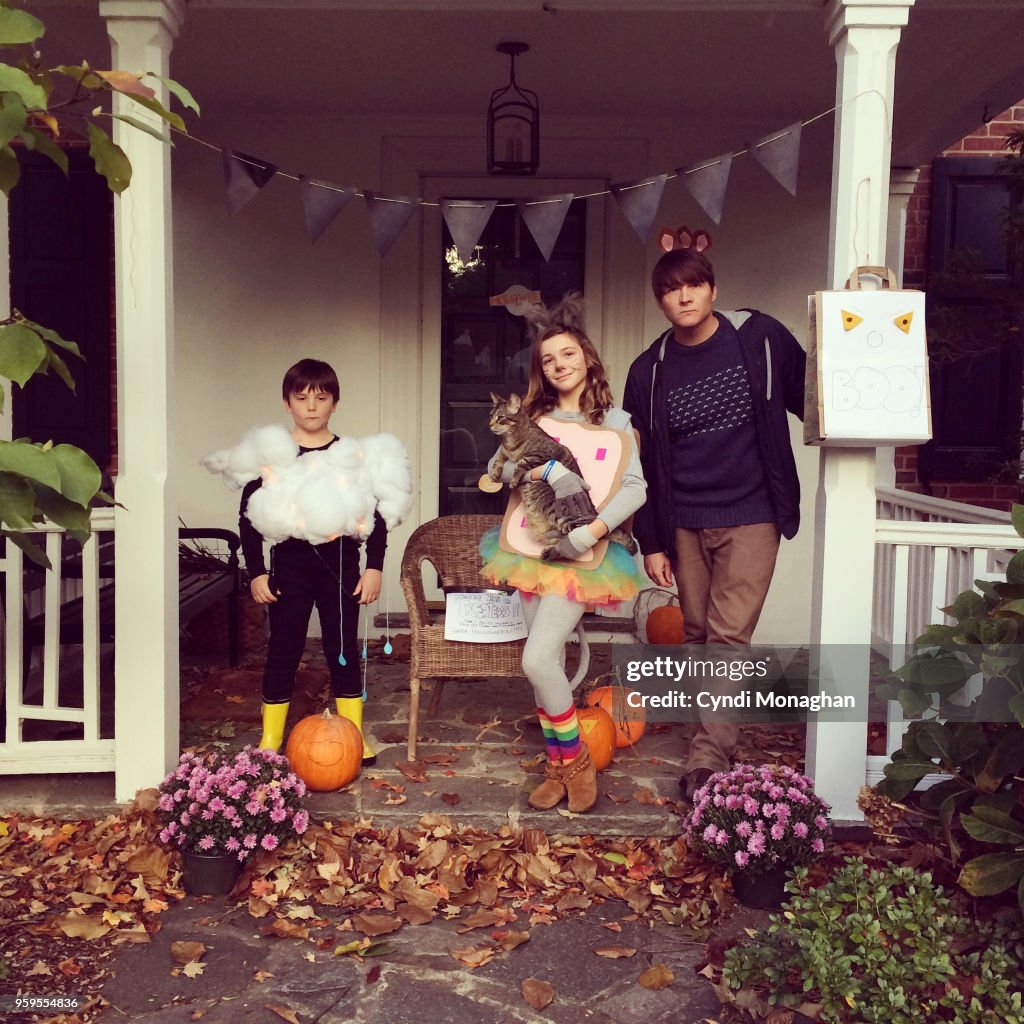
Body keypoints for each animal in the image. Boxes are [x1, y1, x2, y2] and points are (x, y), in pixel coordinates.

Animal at [485, 391, 630, 557]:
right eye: (491, 416)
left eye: (500, 418)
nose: (490, 425)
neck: (510, 441)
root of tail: (594, 514)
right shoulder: (504, 452)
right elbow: (498, 459)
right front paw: (494, 474)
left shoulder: (545, 454)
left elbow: (522, 462)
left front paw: (514, 479)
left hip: (567, 520)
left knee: (575, 537)